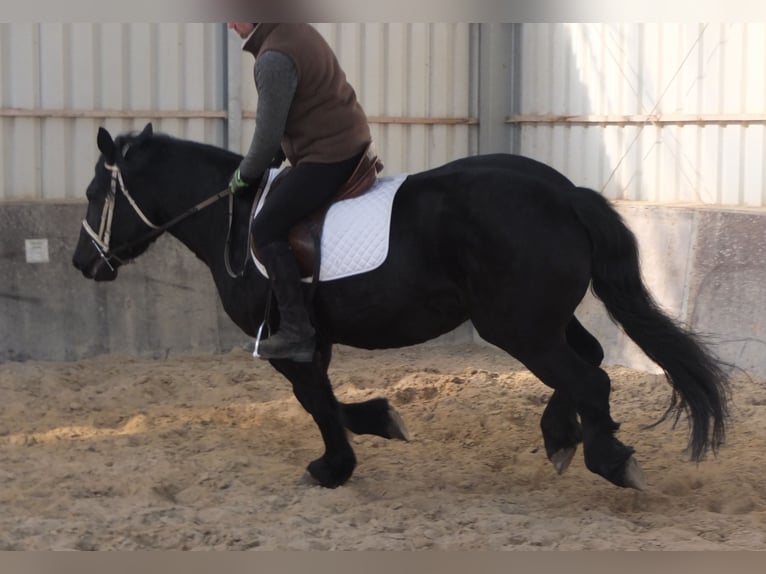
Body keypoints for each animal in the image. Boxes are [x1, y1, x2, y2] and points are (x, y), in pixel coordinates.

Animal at [73, 124, 732, 492]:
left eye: (94, 192)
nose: (83, 263)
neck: (233, 223)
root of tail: (564, 193)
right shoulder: (316, 339)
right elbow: (326, 398)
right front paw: (380, 421)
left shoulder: (289, 344)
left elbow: (315, 401)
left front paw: (335, 466)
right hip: (541, 321)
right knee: (589, 361)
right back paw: (561, 437)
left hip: (517, 328)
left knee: (589, 377)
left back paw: (608, 459)